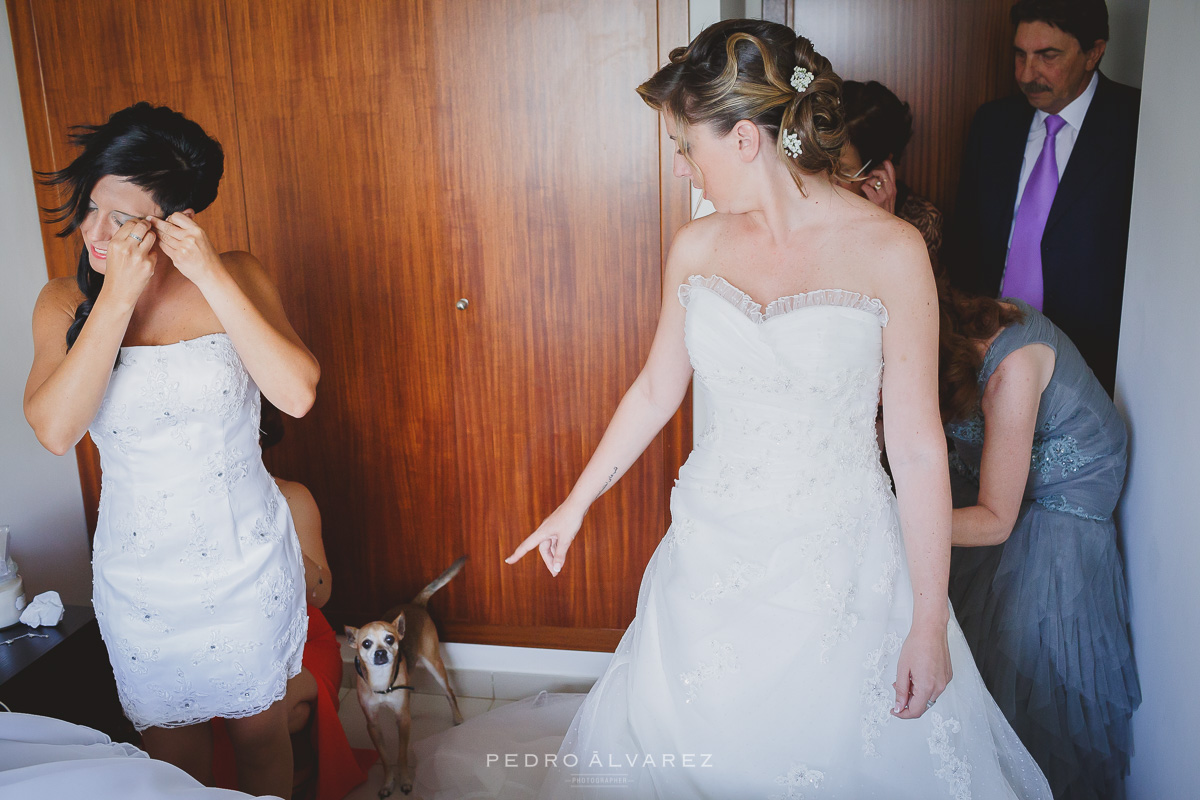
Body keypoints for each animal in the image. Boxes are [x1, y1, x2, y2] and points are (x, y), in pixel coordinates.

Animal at [345, 561, 465, 796]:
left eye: (390, 639)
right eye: (366, 644)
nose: (380, 653)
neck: (382, 681)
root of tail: (414, 604)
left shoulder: (403, 721)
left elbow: (401, 754)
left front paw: (406, 780)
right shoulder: (373, 725)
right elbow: (385, 758)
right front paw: (387, 782)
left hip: (434, 664)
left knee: (449, 692)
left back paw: (457, 717)